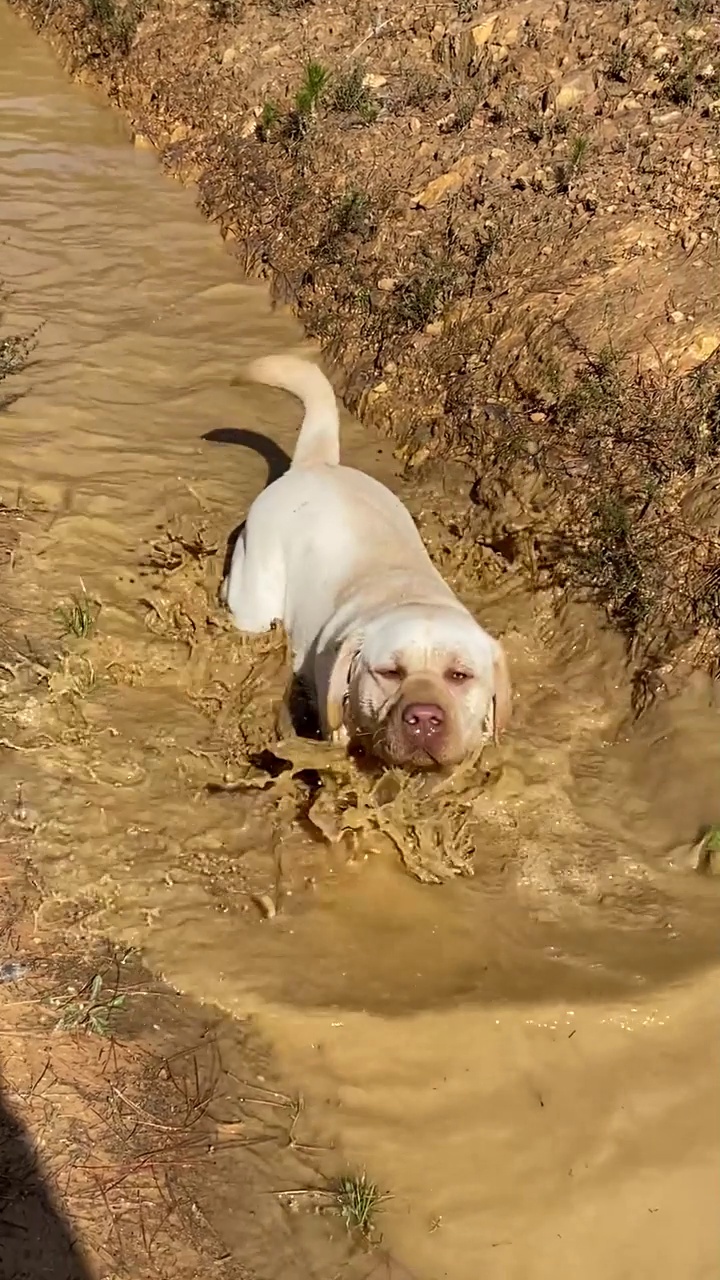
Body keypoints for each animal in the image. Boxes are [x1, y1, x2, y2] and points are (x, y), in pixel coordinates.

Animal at [221, 355, 507, 762]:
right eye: (389, 672)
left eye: (459, 675)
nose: (424, 717)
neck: (407, 595)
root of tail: (315, 464)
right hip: (257, 600)